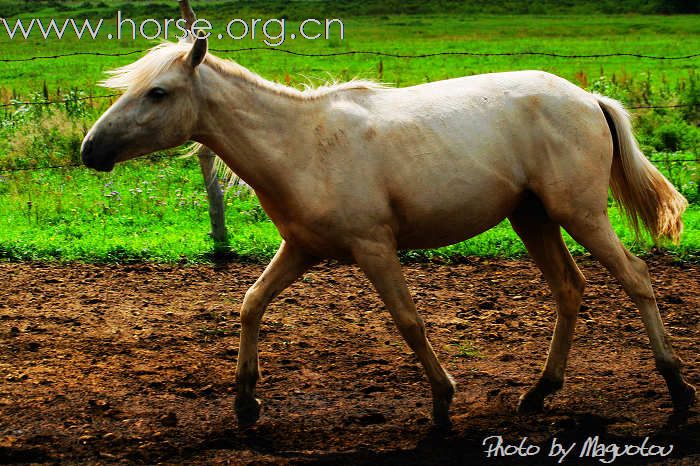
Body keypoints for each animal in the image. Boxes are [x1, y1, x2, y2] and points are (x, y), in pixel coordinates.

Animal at [80, 34, 696, 428]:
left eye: (158, 92)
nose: (90, 150)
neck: (301, 146)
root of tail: (587, 98)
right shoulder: (301, 249)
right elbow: (252, 302)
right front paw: (246, 403)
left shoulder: (373, 248)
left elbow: (408, 320)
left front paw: (443, 402)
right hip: (532, 217)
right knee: (570, 288)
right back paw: (538, 393)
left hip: (580, 213)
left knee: (636, 277)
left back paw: (677, 387)